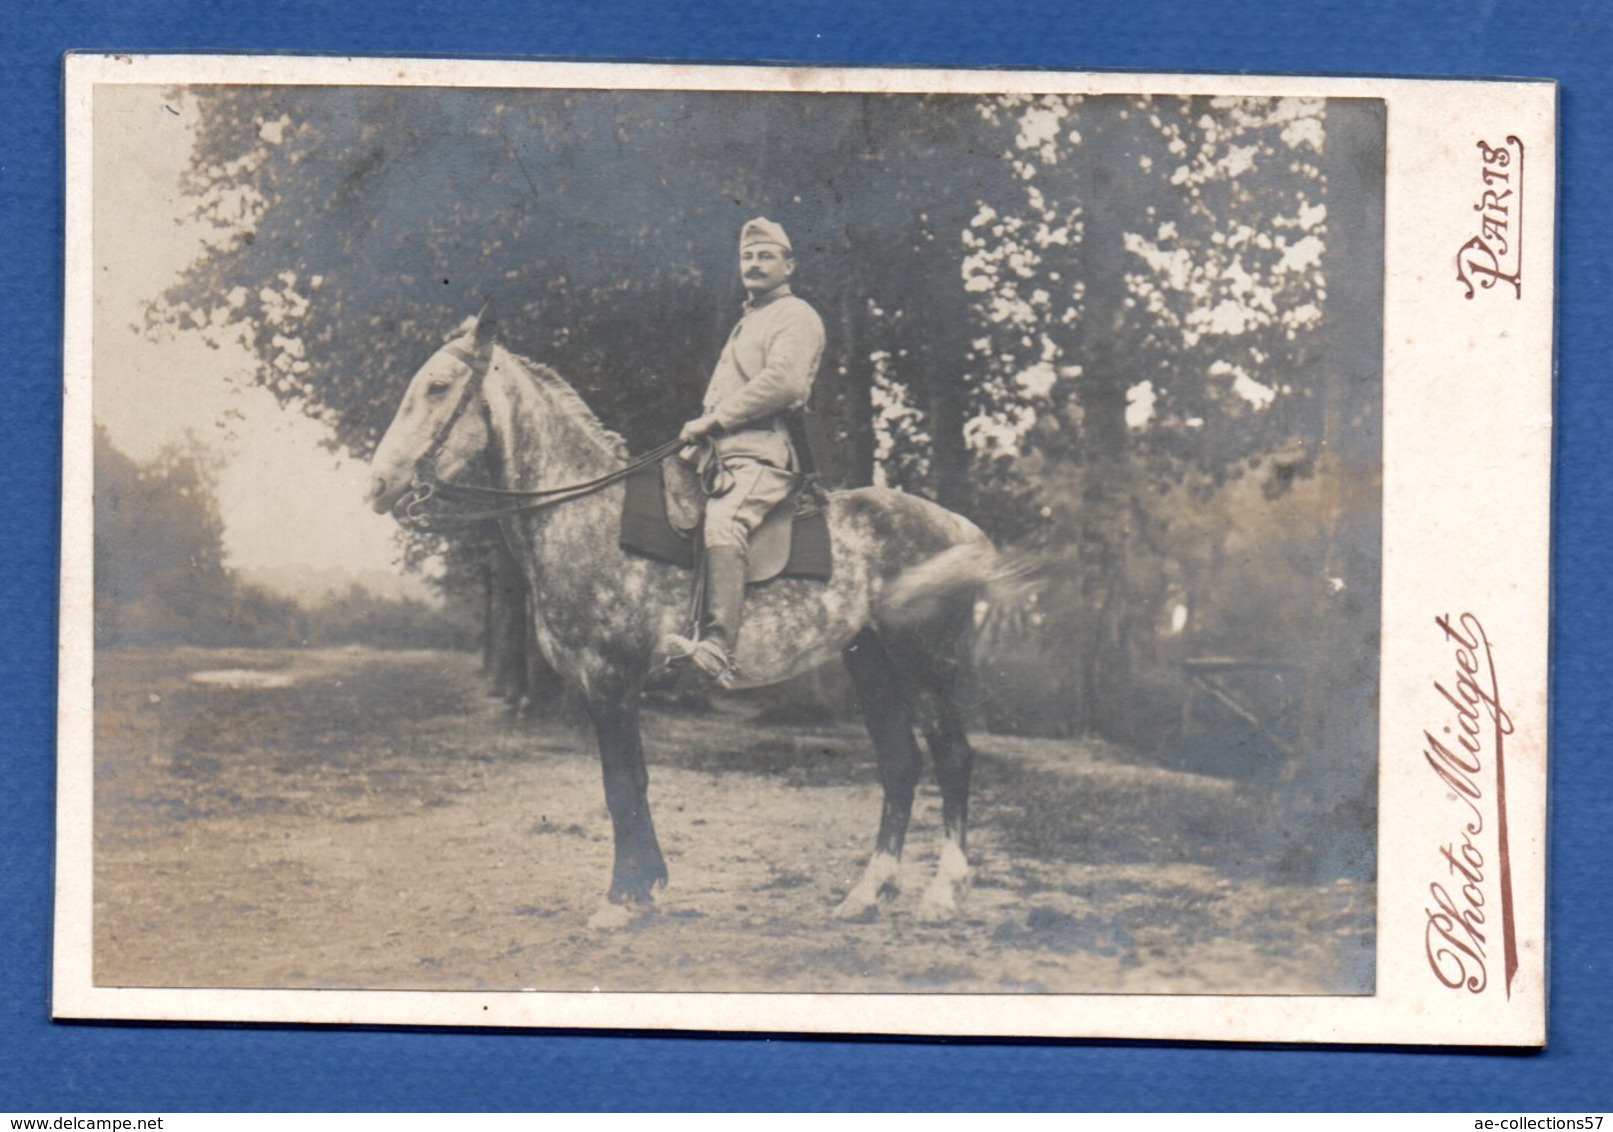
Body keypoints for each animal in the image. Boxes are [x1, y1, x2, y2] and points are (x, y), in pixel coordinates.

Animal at [369, 309, 993, 928]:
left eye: (438, 387)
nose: (379, 486)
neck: (586, 514)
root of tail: (963, 530)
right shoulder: (603, 687)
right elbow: (633, 783)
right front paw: (645, 888)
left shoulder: (610, 679)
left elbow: (622, 784)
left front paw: (620, 898)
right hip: (872, 663)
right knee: (901, 763)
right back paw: (867, 893)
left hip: (923, 663)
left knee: (952, 754)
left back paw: (943, 893)